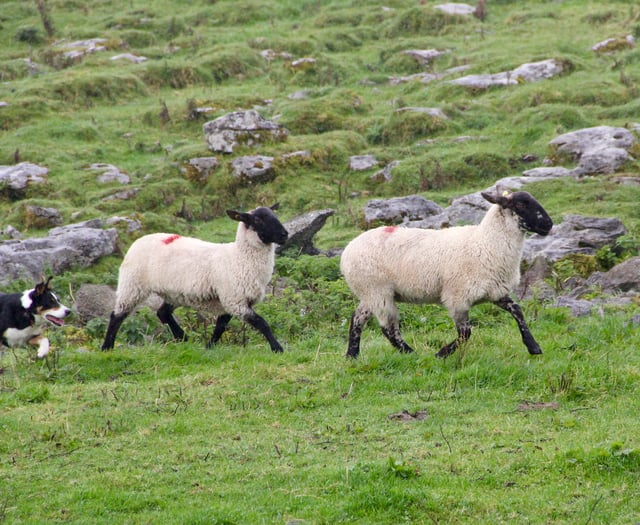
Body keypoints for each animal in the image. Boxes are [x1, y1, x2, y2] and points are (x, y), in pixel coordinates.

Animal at [102, 205, 288, 352]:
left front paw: (209, 346)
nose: (284, 235)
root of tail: (139, 240)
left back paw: (182, 337)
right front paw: (277, 348)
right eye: (257, 219)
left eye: (274, 214)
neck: (239, 258)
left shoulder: (231, 301)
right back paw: (107, 347)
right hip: (132, 284)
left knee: (162, 312)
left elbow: (220, 327)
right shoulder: (235, 300)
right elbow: (262, 323)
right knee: (117, 315)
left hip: (174, 293)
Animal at [340, 190, 556, 358]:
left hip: (371, 293)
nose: (548, 224)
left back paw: (352, 355)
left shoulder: (494, 291)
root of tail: (346, 252)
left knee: (358, 318)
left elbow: (517, 310)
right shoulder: (457, 297)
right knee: (389, 329)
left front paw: (533, 347)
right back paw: (411, 354)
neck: (484, 243)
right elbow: (465, 333)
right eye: (520, 203)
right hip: (378, 290)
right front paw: (441, 353)